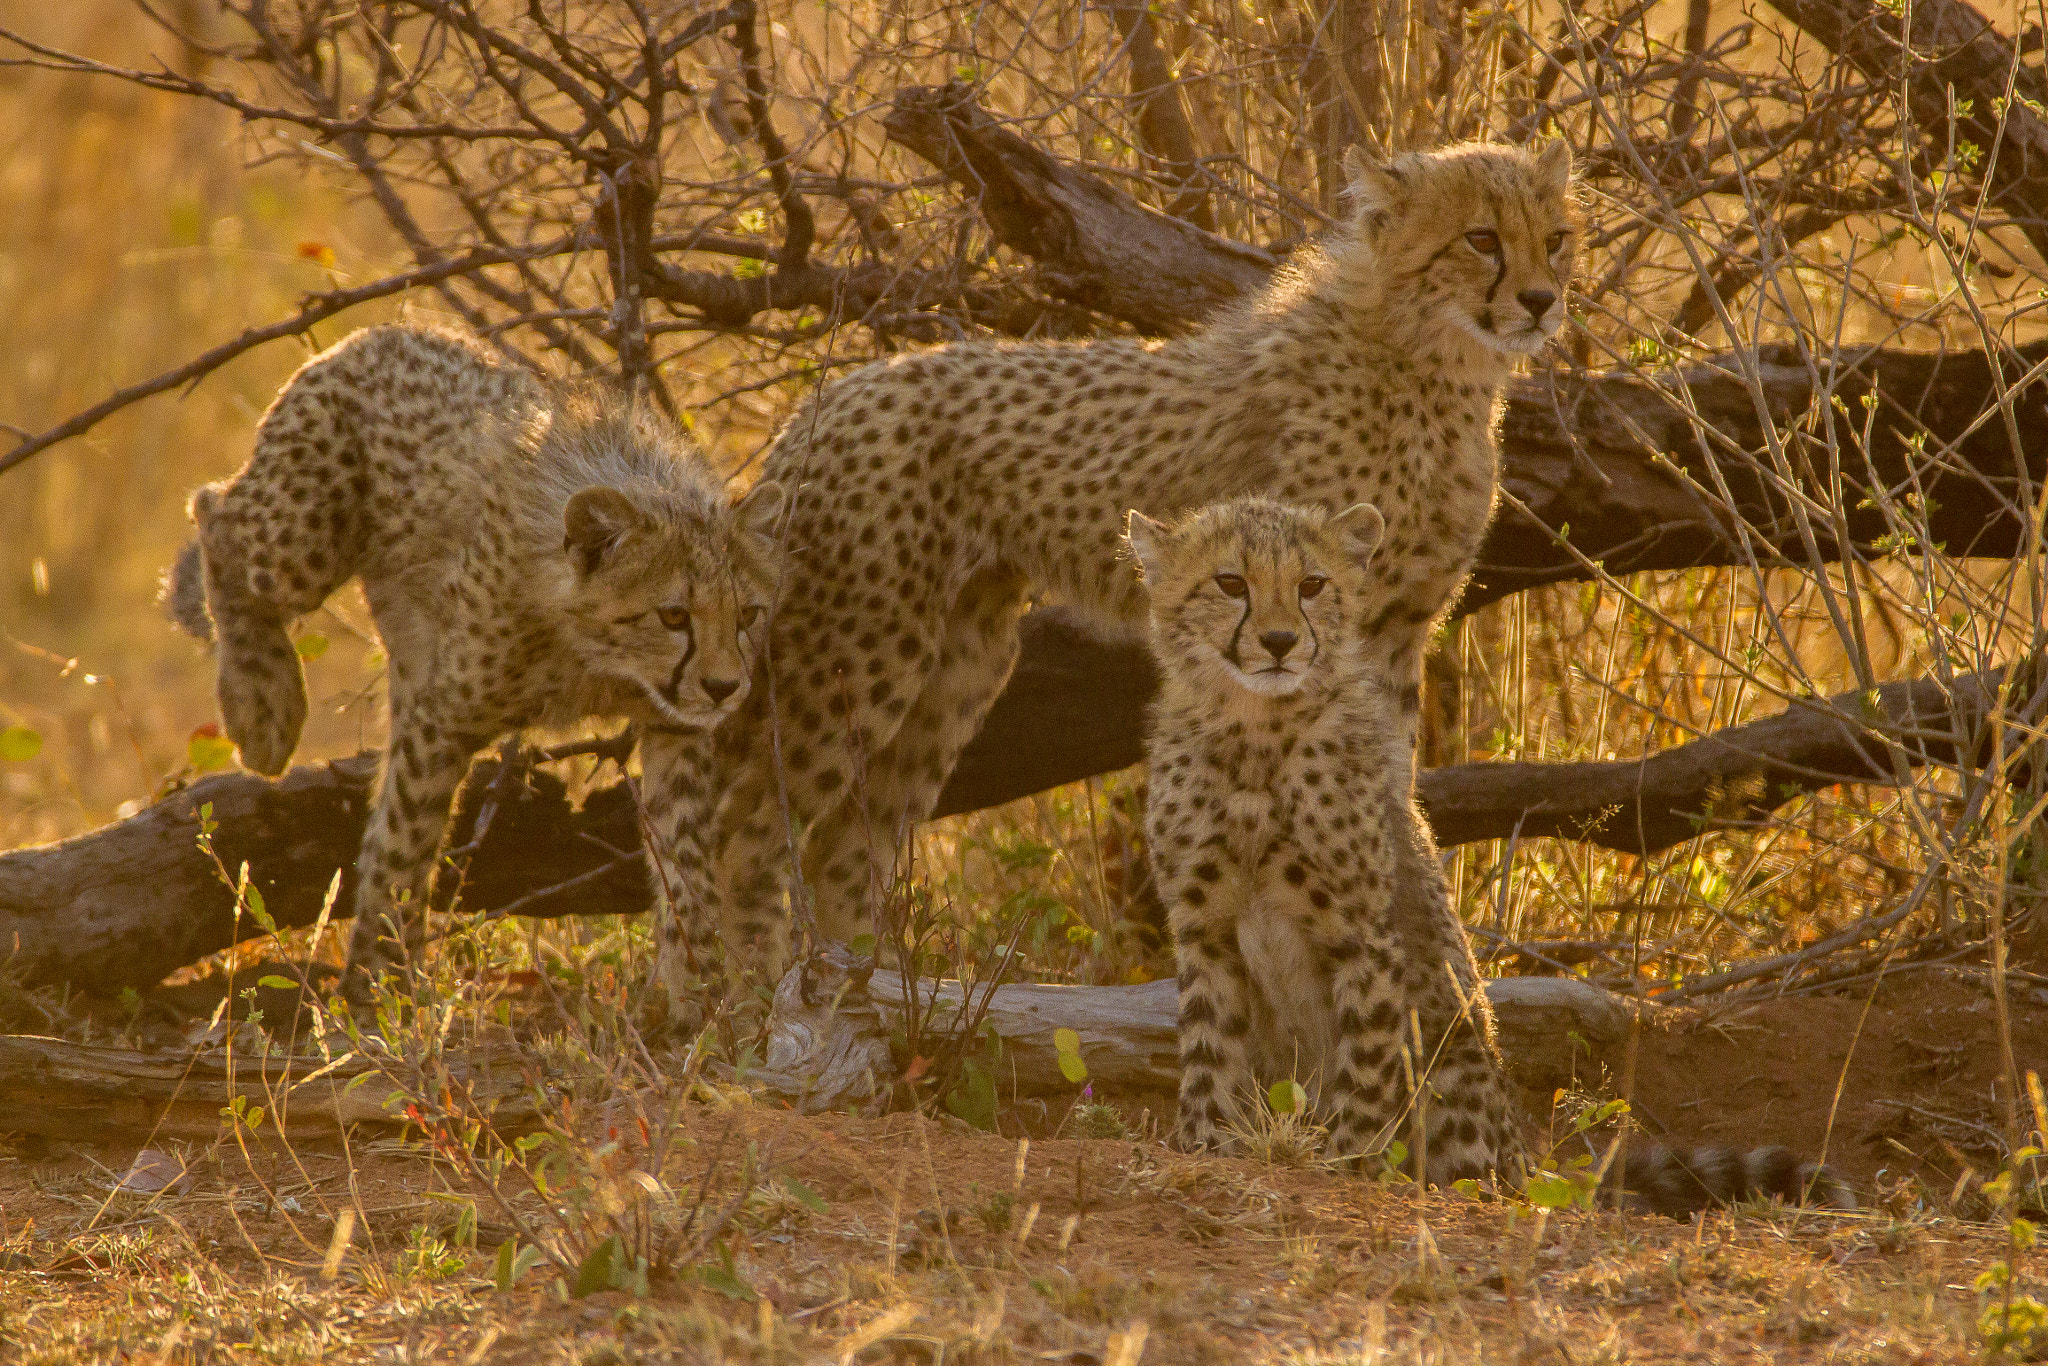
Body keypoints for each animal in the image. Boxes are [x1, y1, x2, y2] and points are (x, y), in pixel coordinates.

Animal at [168, 322, 785, 1005]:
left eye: (748, 614)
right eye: (674, 616)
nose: (725, 687)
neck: (600, 661)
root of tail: (379, 331)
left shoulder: (675, 727)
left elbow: (687, 856)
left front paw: (696, 991)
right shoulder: (446, 716)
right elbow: (405, 839)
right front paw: (377, 986)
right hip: (303, 536)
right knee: (214, 513)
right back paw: (261, 708)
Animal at [697, 139, 1578, 986]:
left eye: (1556, 240)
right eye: (1482, 239)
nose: (1541, 301)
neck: (1433, 361)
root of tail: (828, 396)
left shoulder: (1394, 631)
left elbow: (1387, 787)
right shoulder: (1329, 625)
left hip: (960, 664)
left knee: (847, 840)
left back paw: (865, 982)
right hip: (863, 652)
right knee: (746, 830)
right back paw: (741, 1000)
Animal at [1127, 494, 1856, 1214]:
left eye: (1312, 585)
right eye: (1230, 583)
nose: (1279, 643)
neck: (1253, 731)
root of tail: (1521, 1158)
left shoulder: (1364, 935)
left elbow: (1364, 1069)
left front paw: (1344, 1163)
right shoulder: (1203, 931)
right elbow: (1208, 1049)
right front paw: (1205, 1144)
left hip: (1455, 1066)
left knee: (1469, 1167)